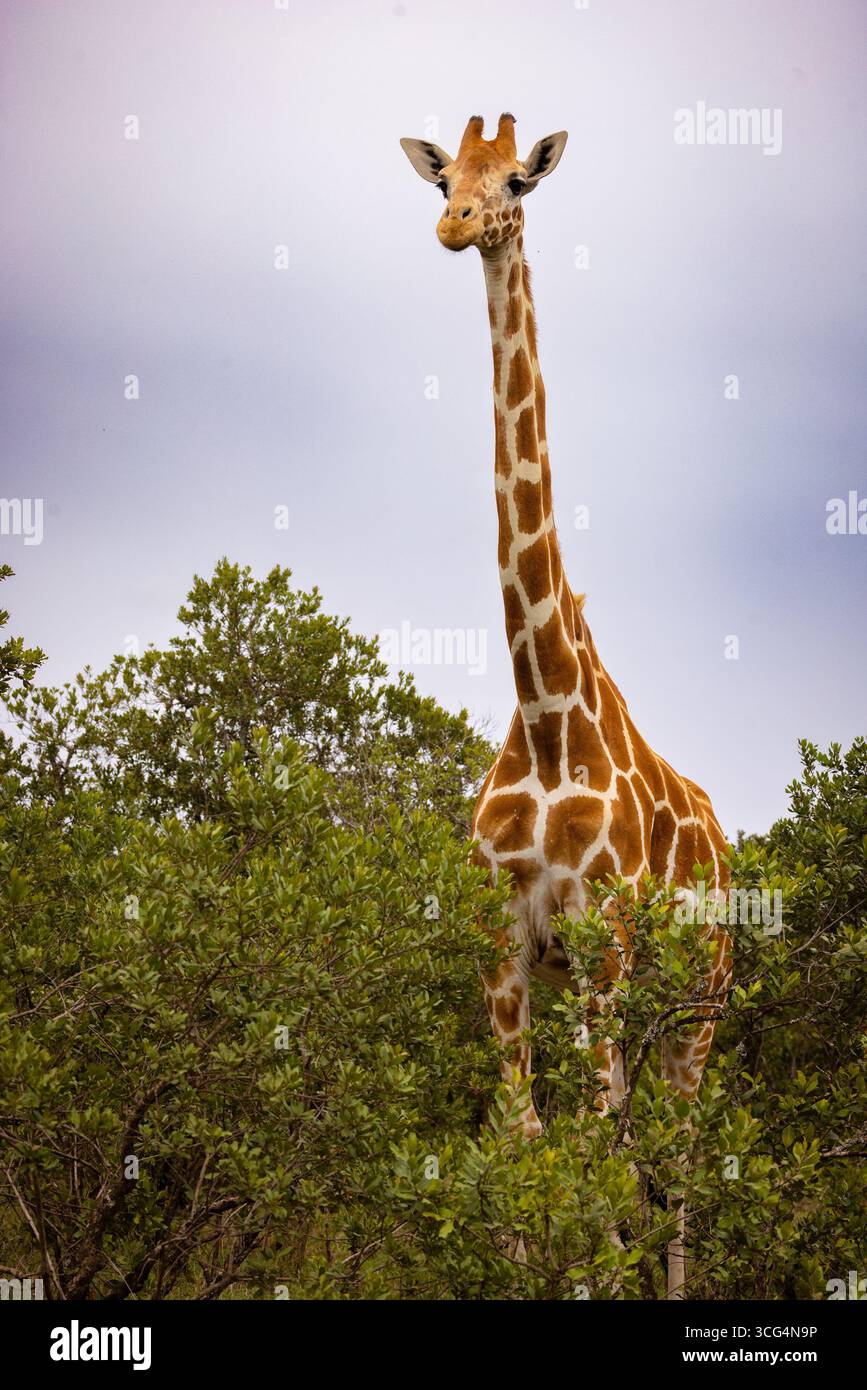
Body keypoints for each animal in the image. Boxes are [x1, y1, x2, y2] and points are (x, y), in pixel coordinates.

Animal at [400, 113, 732, 1297]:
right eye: (443, 180)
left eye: (516, 180)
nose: (456, 226)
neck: (545, 716)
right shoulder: (505, 942)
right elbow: (523, 1149)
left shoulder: (603, 940)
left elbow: (589, 1161)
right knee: (635, 1153)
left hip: (694, 1009)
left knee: (677, 1166)